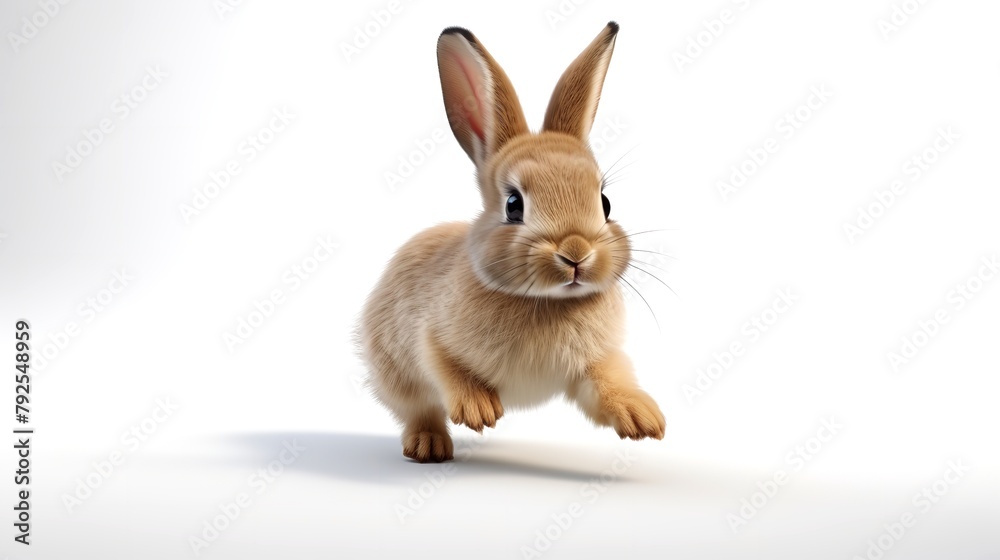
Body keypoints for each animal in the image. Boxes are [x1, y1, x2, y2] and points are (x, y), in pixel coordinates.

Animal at [359, 22, 665, 463]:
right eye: (513, 205)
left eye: (605, 202)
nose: (576, 253)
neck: (547, 302)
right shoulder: (427, 337)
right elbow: (441, 365)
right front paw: (479, 409)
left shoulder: (592, 364)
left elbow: (605, 385)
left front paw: (642, 416)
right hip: (392, 371)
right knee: (418, 410)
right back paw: (429, 446)